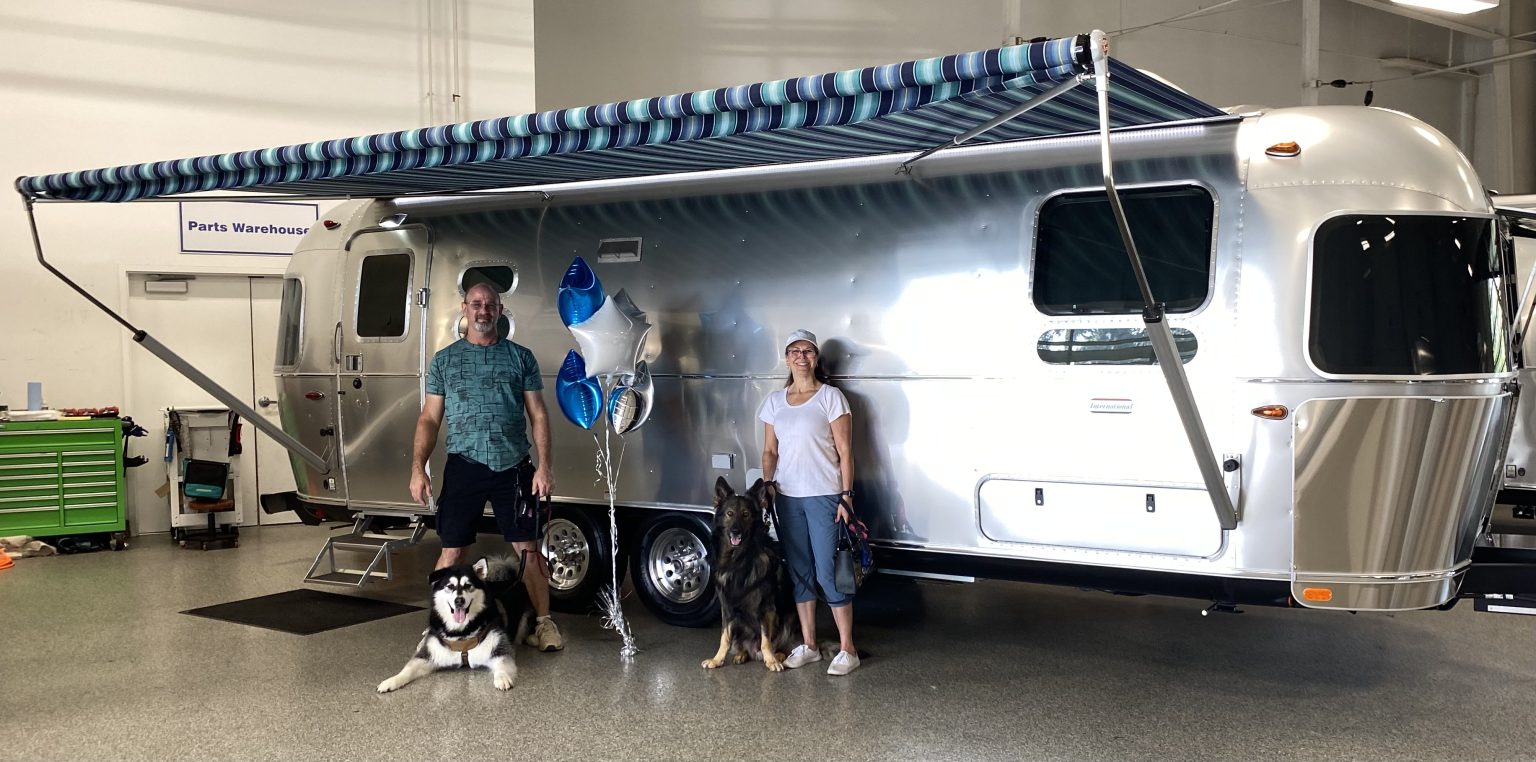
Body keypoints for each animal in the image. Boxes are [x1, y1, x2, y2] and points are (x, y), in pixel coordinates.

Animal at [377, 555, 533, 692]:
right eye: (450, 586)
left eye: (468, 585)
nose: (459, 601)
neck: (461, 632)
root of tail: (512, 580)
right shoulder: (430, 655)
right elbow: (408, 669)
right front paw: (392, 680)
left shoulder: (499, 650)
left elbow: (503, 664)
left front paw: (502, 678)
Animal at [701, 476, 801, 671]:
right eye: (730, 513)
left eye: (746, 514)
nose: (735, 531)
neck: (739, 560)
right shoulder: (727, 609)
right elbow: (725, 637)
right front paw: (717, 660)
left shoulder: (766, 608)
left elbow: (766, 639)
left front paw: (771, 660)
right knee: (741, 644)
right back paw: (741, 654)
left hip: (789, 618)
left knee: (779, 643)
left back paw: (777, 655)